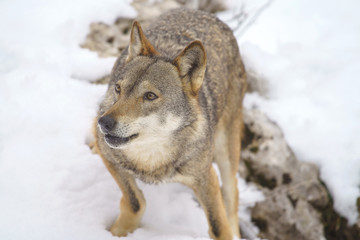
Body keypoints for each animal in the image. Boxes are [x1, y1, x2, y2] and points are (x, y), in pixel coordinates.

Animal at [93, 7, 248, 240]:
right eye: (118, 89)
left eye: (150, 96)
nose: (103, 122)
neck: (152, 159)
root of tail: (203, 12)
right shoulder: (110, 157)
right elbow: (135, 203)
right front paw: (118, 231)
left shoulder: (206, 177)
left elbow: (219, 228)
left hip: (226, 150)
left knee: (232, 192)